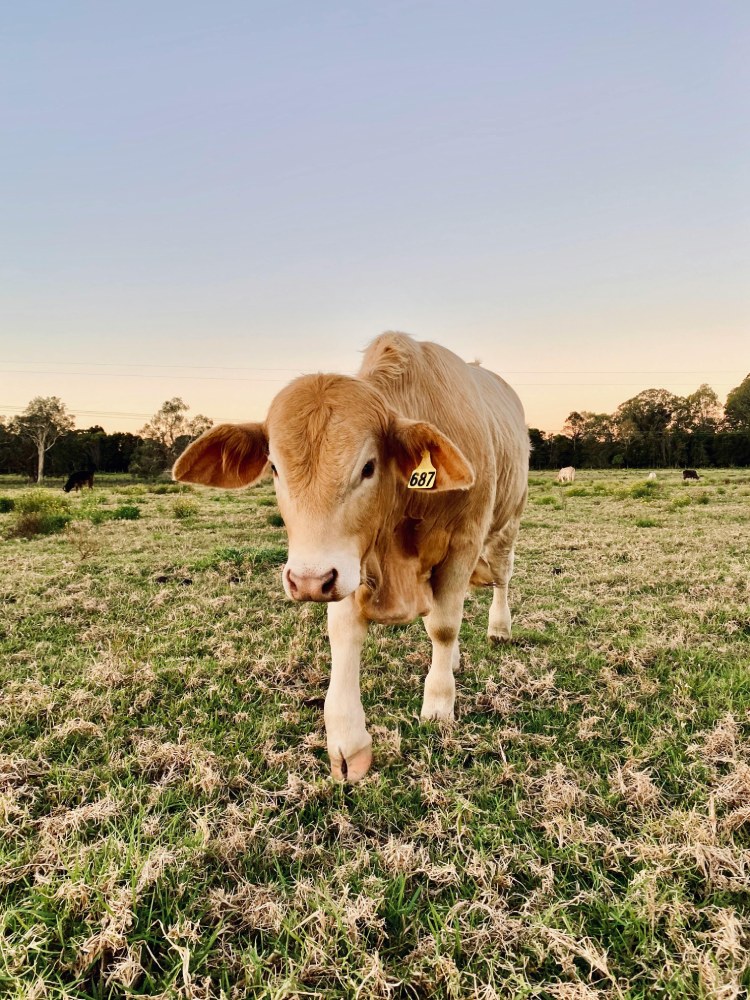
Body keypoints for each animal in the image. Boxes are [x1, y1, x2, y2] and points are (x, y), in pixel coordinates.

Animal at [173, 333, 529, 782]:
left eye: (368, 467)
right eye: (274, 468)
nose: (307, 580)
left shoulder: (463, 542)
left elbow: (443, 627)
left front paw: (438, 703)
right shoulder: (348, 564)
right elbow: (345, 634)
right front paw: (347, 739)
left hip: (509, 521)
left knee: (501, 577)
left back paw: (498, 627)